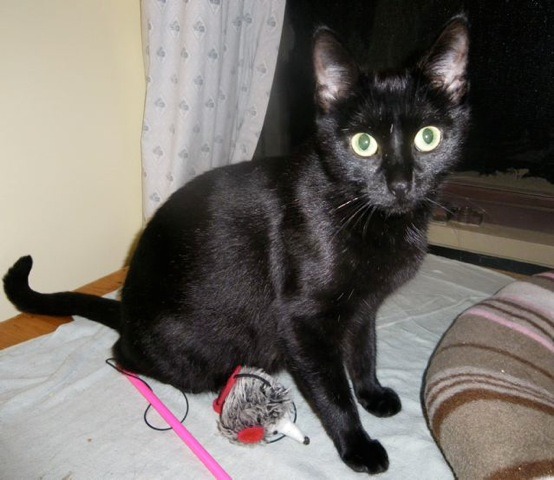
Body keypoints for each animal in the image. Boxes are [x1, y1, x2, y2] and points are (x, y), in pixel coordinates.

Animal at [4, 15, 469, 475]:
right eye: (364, 144)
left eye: (427, 137)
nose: (401, 184)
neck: (372, 218)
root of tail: (128, 313)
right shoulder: (302, 320)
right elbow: (332, 390)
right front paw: (357, 445)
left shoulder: (362, 307)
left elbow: (364, 351)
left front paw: (372, 394)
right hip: (186, 350)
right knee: (125, 356)